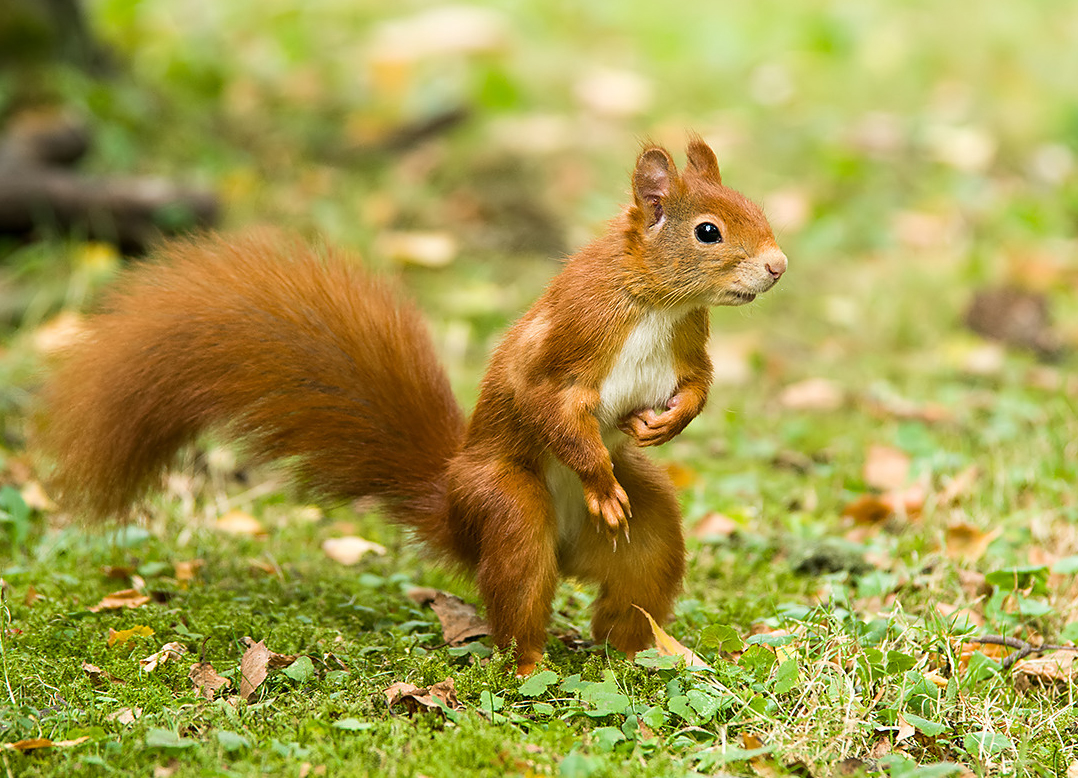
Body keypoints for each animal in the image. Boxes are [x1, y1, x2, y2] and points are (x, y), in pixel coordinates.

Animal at [42, 137, 784, 672]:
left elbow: (698, 384)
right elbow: (548, 405)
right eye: (710, 232)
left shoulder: (689, 345)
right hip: (507, 508)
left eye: (756, 208)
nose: (777, 266)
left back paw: (652, 651)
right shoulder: (569, 339)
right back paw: (532, 661)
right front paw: (600, 479)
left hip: (647, 534)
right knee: (520, 591)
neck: (658, 301)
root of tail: (454, 507)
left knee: (635, 584)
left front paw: (665, 422)